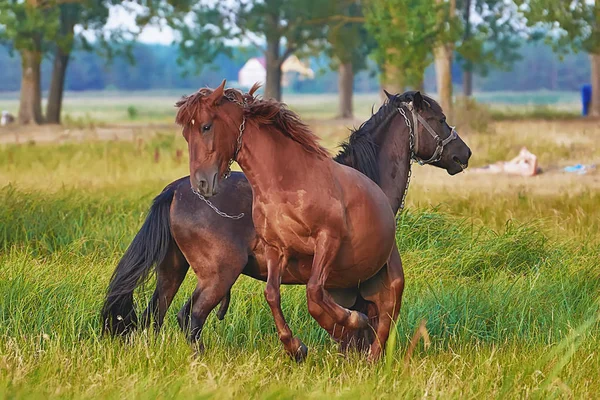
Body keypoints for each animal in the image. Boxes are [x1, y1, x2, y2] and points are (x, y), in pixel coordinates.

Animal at [101, 83, 472, 360]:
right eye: (440, 118)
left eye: (204, 128)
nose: (463, 153)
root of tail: (176, 190)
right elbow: (361, 319)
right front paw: (343, 336)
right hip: (218, 274)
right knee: (189, 317)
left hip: (172, 271)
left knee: (155, 316)